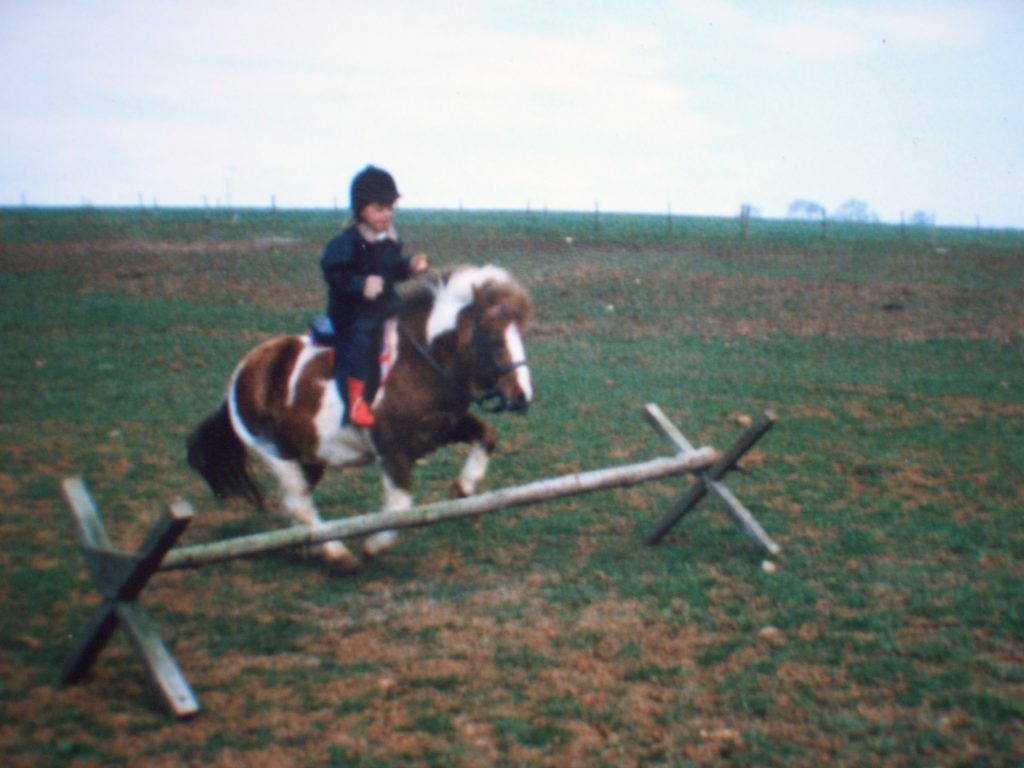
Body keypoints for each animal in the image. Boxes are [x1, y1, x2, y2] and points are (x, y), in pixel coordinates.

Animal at [186, 264, 536, 573]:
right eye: (492, 338)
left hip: (310, 456)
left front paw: (463, 486)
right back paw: (338, 555)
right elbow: (399, 509)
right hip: (278, 454)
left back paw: (313, 549)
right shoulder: (391, 451)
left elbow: (486, 436)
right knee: (299, 503)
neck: (419, 363)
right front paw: (373, 545)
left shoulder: (445, 427)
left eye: (521, 333)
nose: (522, 395)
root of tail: (243, 373)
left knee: (297, 504)